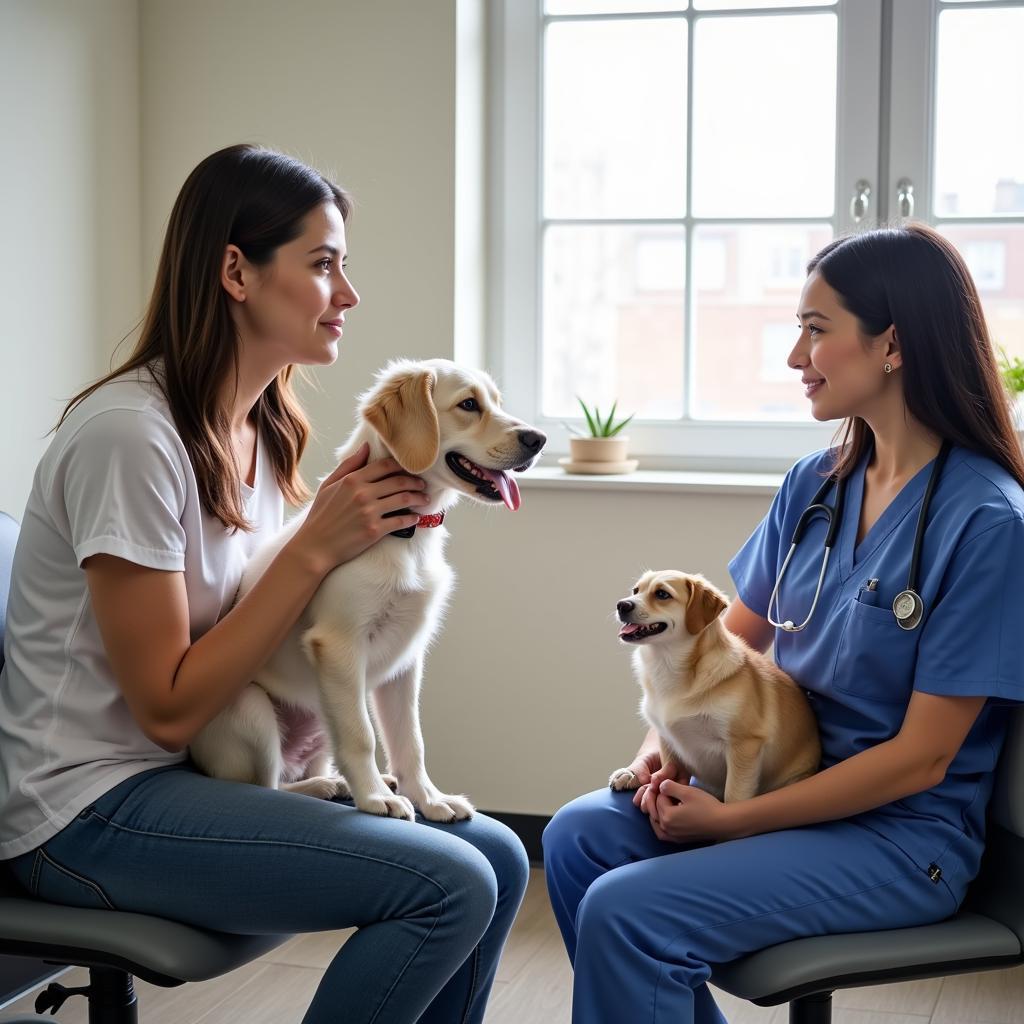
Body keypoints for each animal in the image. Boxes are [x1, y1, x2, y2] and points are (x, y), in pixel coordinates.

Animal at [189, 360, 548, 823]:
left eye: (497, 403)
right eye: (468, 405)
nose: (538, 440)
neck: (404, 533)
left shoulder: (405, 659)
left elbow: (410, 740)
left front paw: (428, 798)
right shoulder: (340, 645)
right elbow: (362, 736)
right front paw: (376, 798)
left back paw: (335, 781)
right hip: (252, 709)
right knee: (268, 786)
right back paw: (330, 786)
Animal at [606, 573, 823, 802]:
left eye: (662, 594)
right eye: (636, 591)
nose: (621, 605)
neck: (668, 665)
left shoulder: (744, 745)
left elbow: (734, 796)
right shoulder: (667, 742)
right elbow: (667, 771)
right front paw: (634, 775)